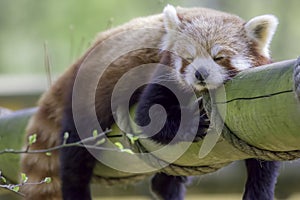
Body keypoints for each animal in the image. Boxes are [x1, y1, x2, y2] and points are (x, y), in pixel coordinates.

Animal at [20, 4, 278, 200]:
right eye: (188, 58)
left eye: (219, 57)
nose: (200, 74)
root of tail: (83, 57)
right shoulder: (160, 72)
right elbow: (148, 117)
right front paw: (193, 125)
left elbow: (265, 157)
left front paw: (259, 192)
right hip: (88, 97)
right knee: (76, 152)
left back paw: (168, 188)